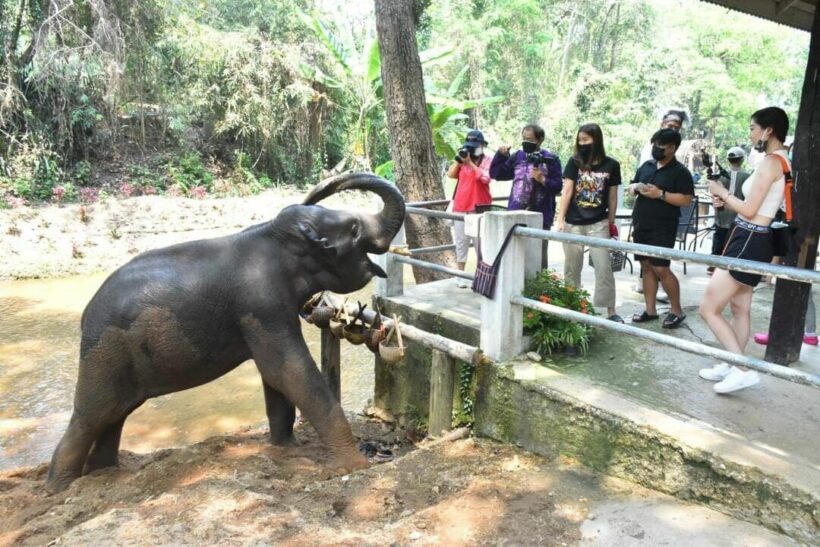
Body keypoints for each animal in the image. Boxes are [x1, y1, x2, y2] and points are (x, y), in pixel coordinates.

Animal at [46, 173, 406, 494]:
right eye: (354, 229)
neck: (272, 234)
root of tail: (85, 316)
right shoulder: (260, 302)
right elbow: (288, 371)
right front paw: (355, 467)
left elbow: (275, 377)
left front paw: (287, 448)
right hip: (103, 354)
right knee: (90, 417)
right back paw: (61, 489)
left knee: (115, 416)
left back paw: (104, 475)